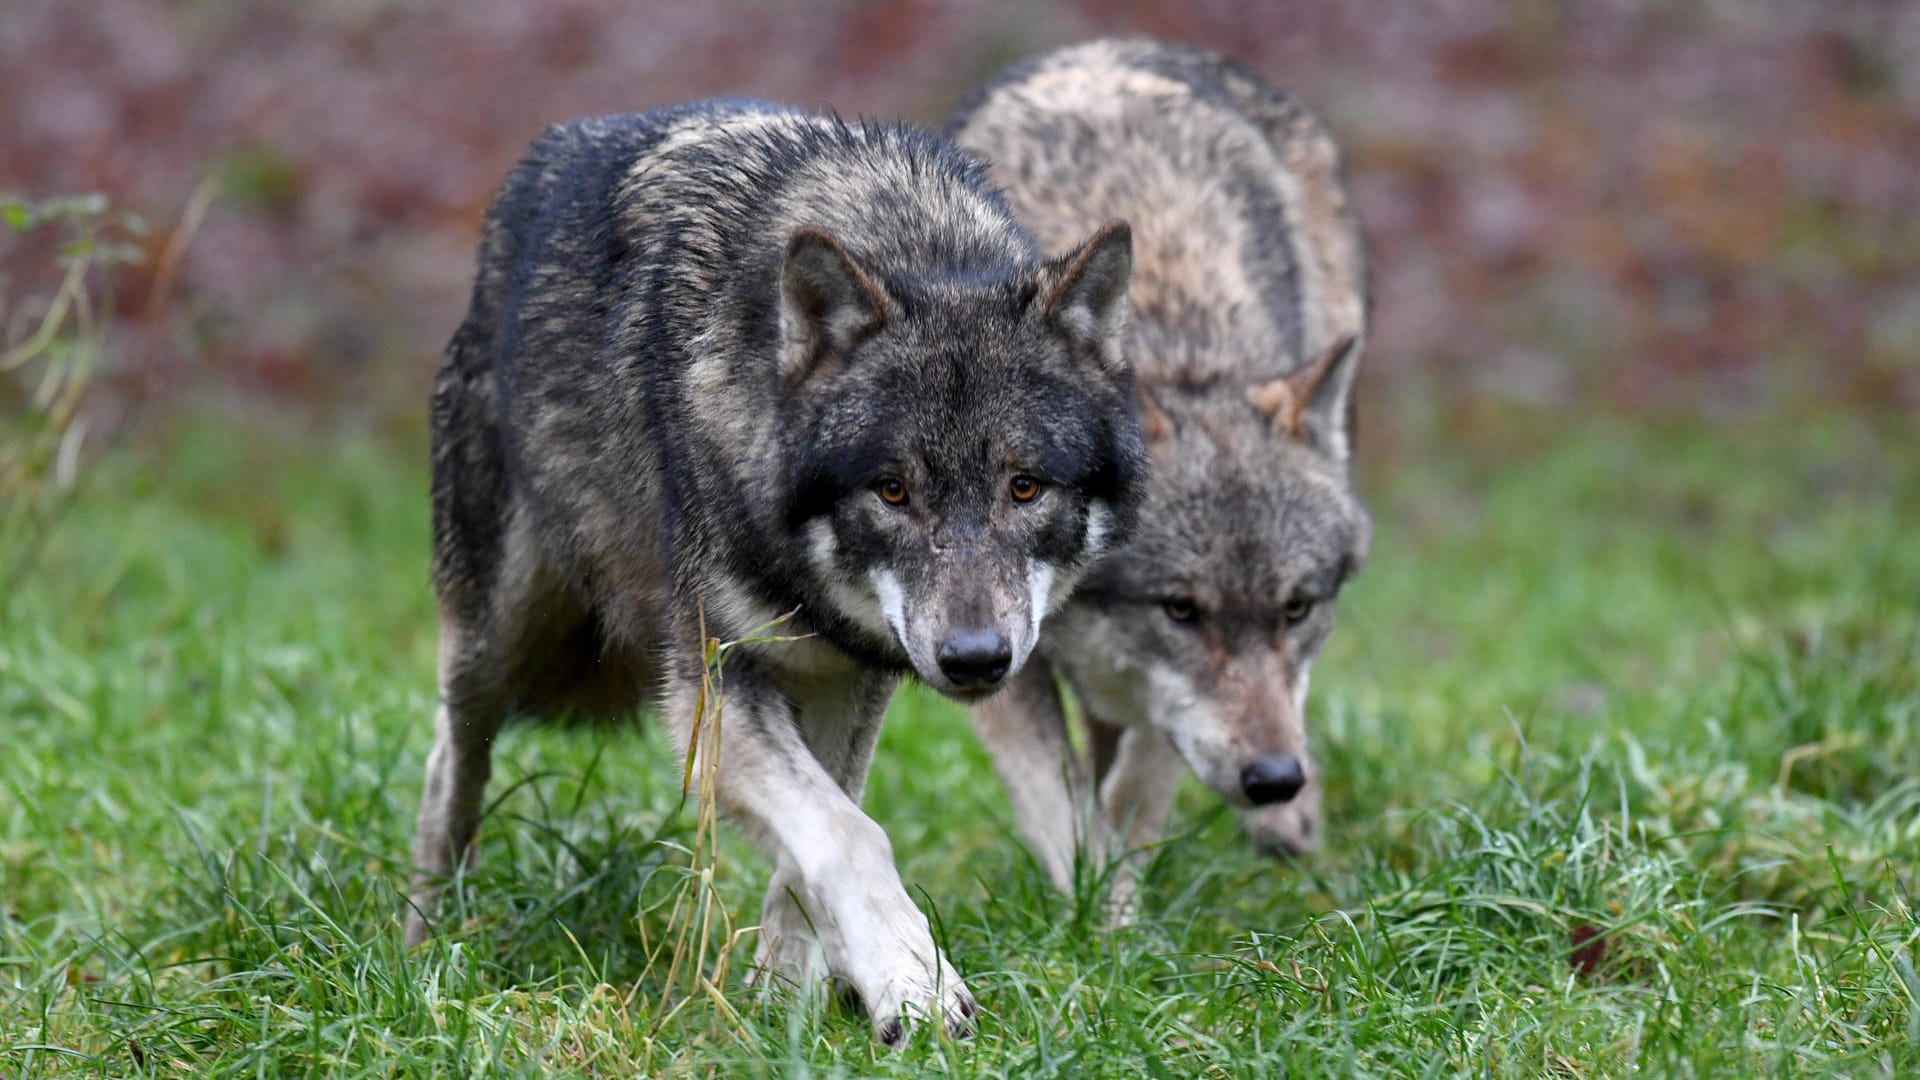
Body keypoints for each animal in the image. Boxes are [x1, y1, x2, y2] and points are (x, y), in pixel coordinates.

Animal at [408, 96, 1136, 1037]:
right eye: (893, 491)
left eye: (1025, 486)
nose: (976, 660)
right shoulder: (710, 683)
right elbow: (851, 834)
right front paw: (916, 985)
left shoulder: (847, 678)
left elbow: (823, 829)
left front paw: (788, 998)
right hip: (496, 644)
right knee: (449, 760)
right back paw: (424, 942)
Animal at [940, 39, 1367, 907]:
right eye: (1181, 610)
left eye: (1297, 608)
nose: (1275, 777)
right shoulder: (987, 654)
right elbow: (1059, 796)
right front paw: (1100, 918)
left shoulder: (1160, 704)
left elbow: (1141, 774)